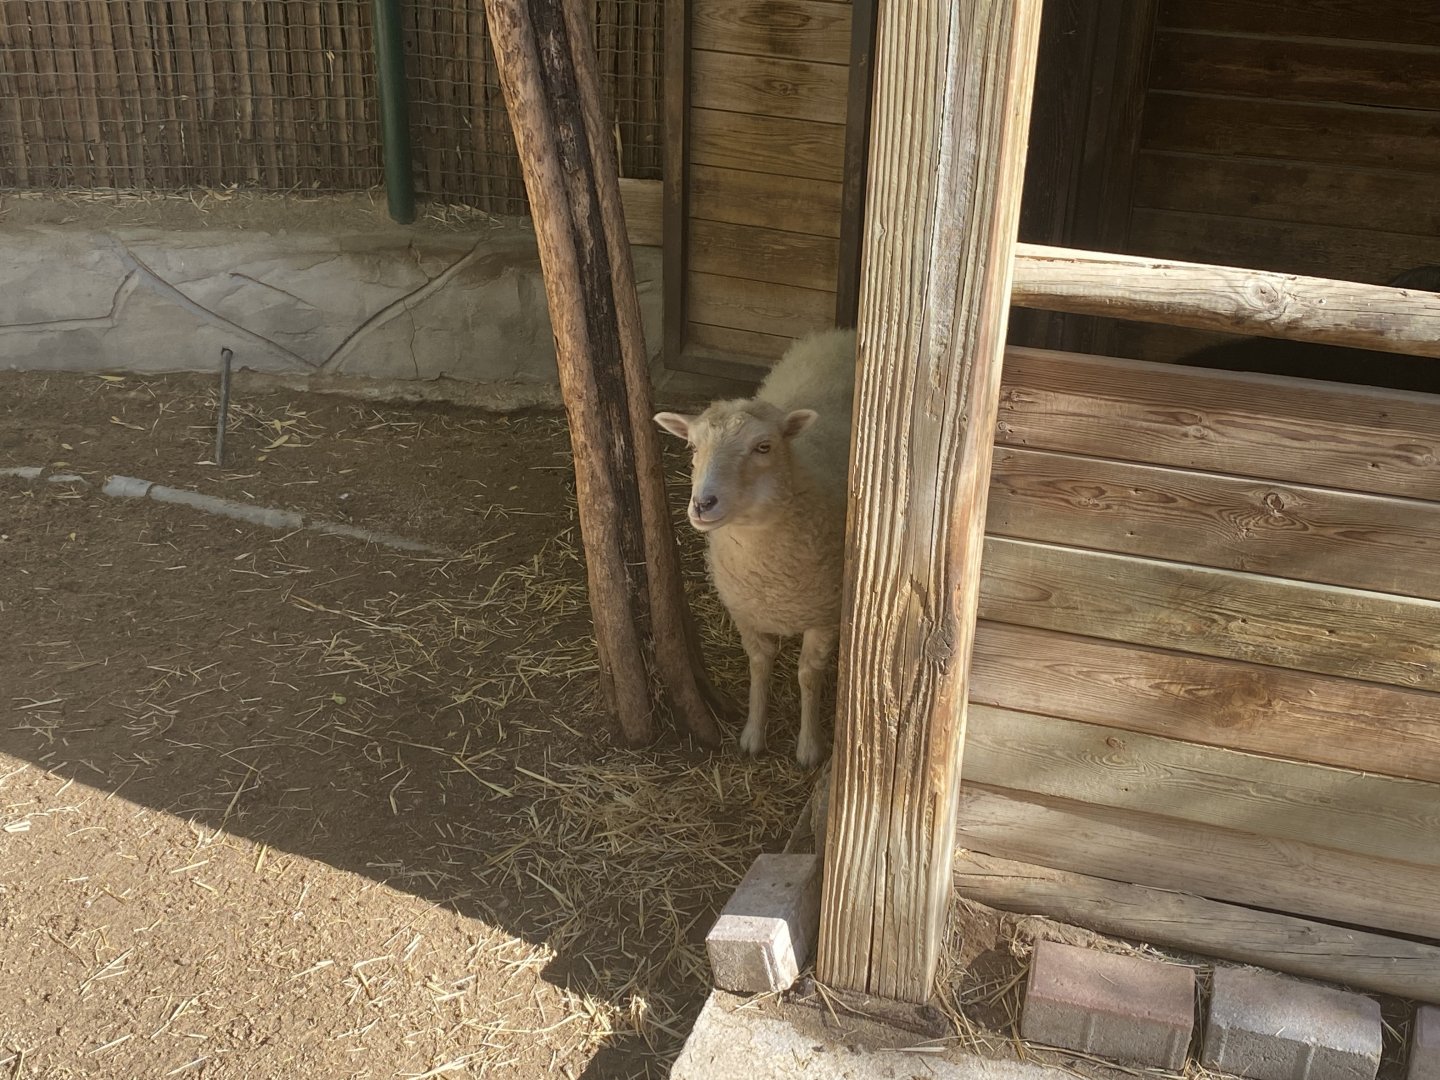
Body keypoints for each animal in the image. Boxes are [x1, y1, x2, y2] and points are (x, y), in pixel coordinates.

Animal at [653, 327, 856, 768]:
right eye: (693, 448)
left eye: (764, 447)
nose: (702, 503)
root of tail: (840, 332)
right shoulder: (745, 608)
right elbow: (760, 665)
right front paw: (752, 735)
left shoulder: (824, 613)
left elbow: (807, 674)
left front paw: (809, 746)